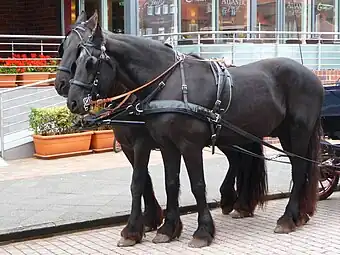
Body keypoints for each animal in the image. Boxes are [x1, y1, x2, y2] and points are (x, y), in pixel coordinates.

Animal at [57, 17, 270, 245]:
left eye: (87, 60)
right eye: (64, 48)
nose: (67, 92)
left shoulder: (142, 143)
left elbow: (138, 181)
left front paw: (133, 229)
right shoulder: (129, 146)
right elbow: (146, 180)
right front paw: (151, 220)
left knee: (242, 160)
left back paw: (239, 202)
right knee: (239, 160)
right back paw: (237, 201)